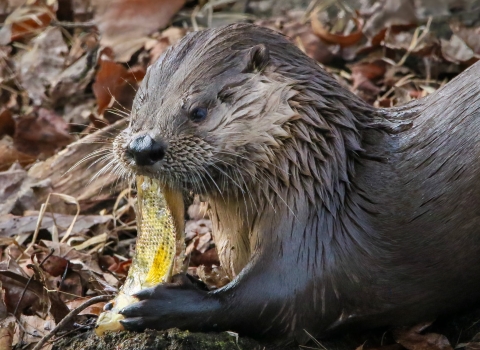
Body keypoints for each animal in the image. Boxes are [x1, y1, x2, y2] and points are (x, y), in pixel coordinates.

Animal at [110, 23, 480, 346]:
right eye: (137, 106)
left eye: (198, 111)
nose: (142, 147)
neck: (315, 180)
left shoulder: (311, 243)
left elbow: (269, 301)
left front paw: (160, 304)